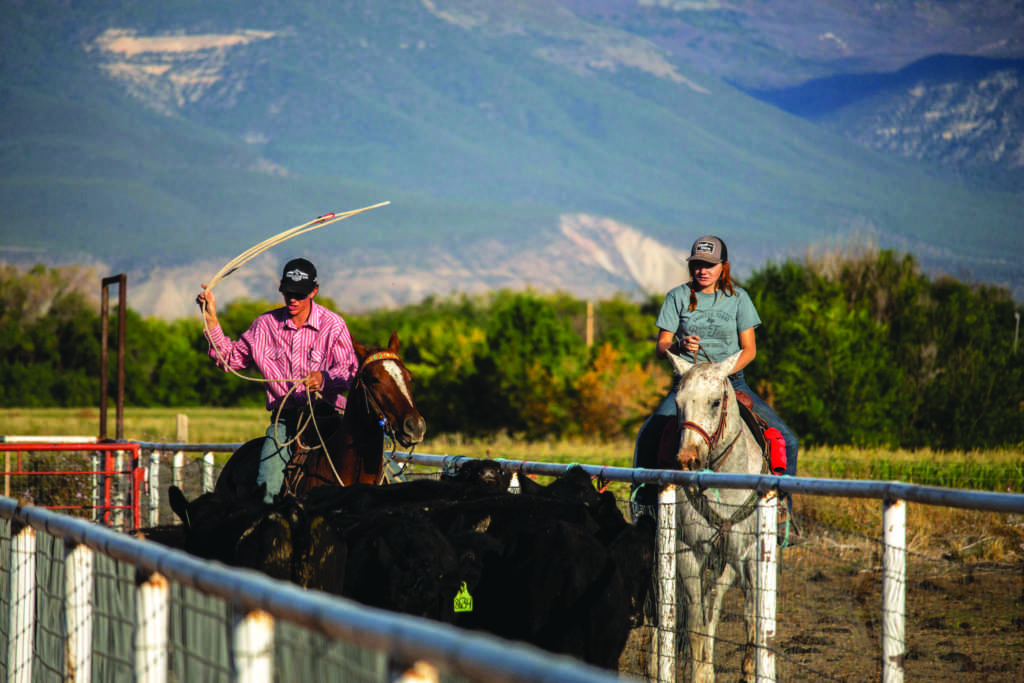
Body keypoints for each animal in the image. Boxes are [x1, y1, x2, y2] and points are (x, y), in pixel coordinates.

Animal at [663, 352, 770, 683]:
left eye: (714, 402)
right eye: (679, 403)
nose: (687, 460)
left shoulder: (749, 555)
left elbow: (751, 618)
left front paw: (749, 672)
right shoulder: (687, 551)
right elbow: (695, 623)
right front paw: (699, 674)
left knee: (715, 605)